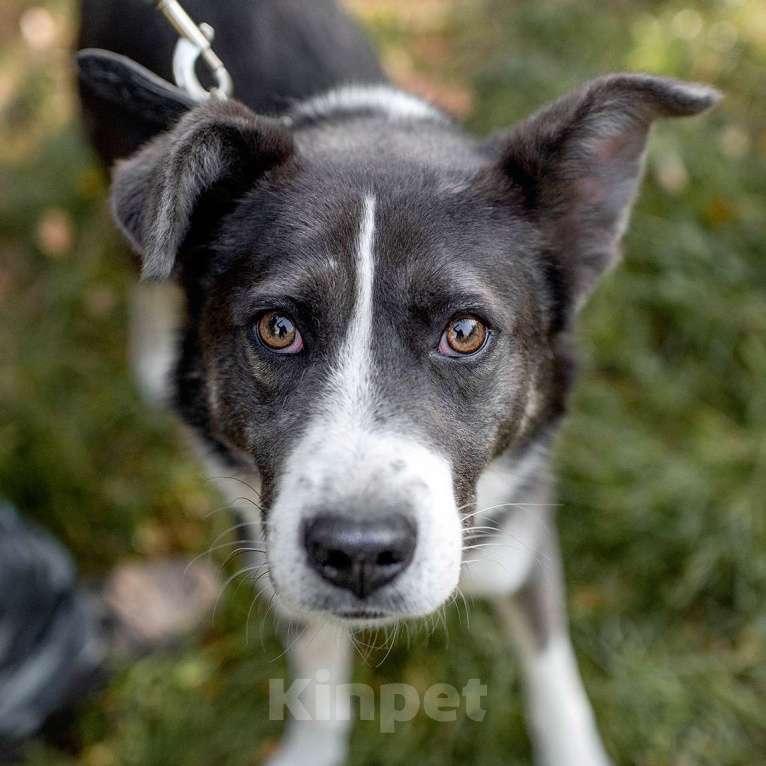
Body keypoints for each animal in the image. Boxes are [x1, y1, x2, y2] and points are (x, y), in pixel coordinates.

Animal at [78, 3, 720, 764]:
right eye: (277, 328)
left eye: (465, 332)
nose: (359, 554)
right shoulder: (268, 550)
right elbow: (317, 679)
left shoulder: (522, 536)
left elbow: (551, 671)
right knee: (144, 266)